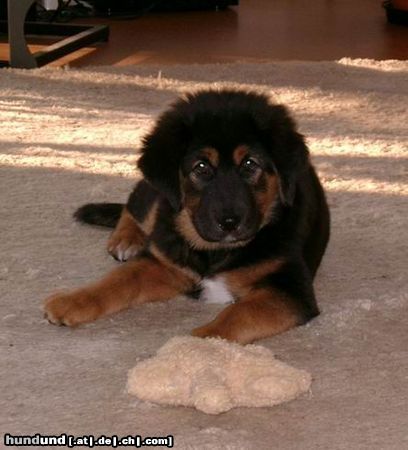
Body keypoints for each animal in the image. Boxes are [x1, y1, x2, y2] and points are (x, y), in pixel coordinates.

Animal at [43, 91, 332, 344]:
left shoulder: (291, 289)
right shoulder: (164, 264)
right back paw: (125, 239)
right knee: (135, 203)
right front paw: (73, 300)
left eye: (250, 164)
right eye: (201, 167)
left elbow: (238, 313)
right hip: (158, 198)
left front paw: (198, 342)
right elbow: (119, 279)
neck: (215, 252)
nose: (230, 223)